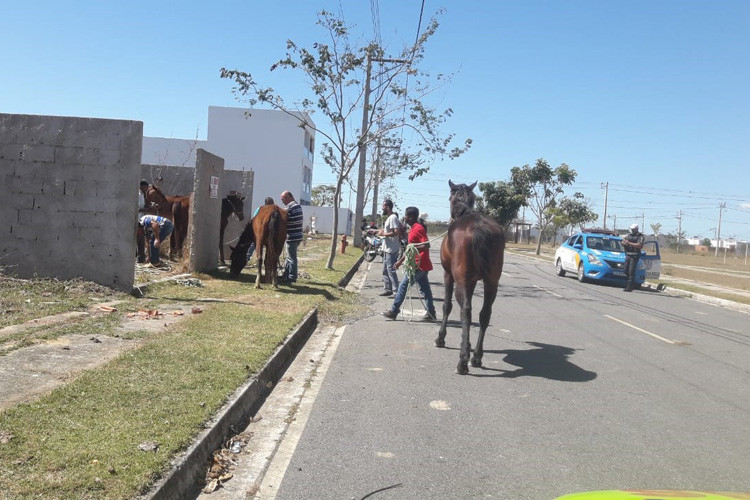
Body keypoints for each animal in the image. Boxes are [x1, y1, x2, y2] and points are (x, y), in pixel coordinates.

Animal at [438, 182, 508, 374]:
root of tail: (480, 228)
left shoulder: (449, 275)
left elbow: (447, 306)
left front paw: (441, 338)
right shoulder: (474, 280)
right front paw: (469, 347)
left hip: (461, 278)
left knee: (466, 311)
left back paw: (463, 361)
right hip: (492, 281)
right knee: (485, 313)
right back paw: (476, 356)